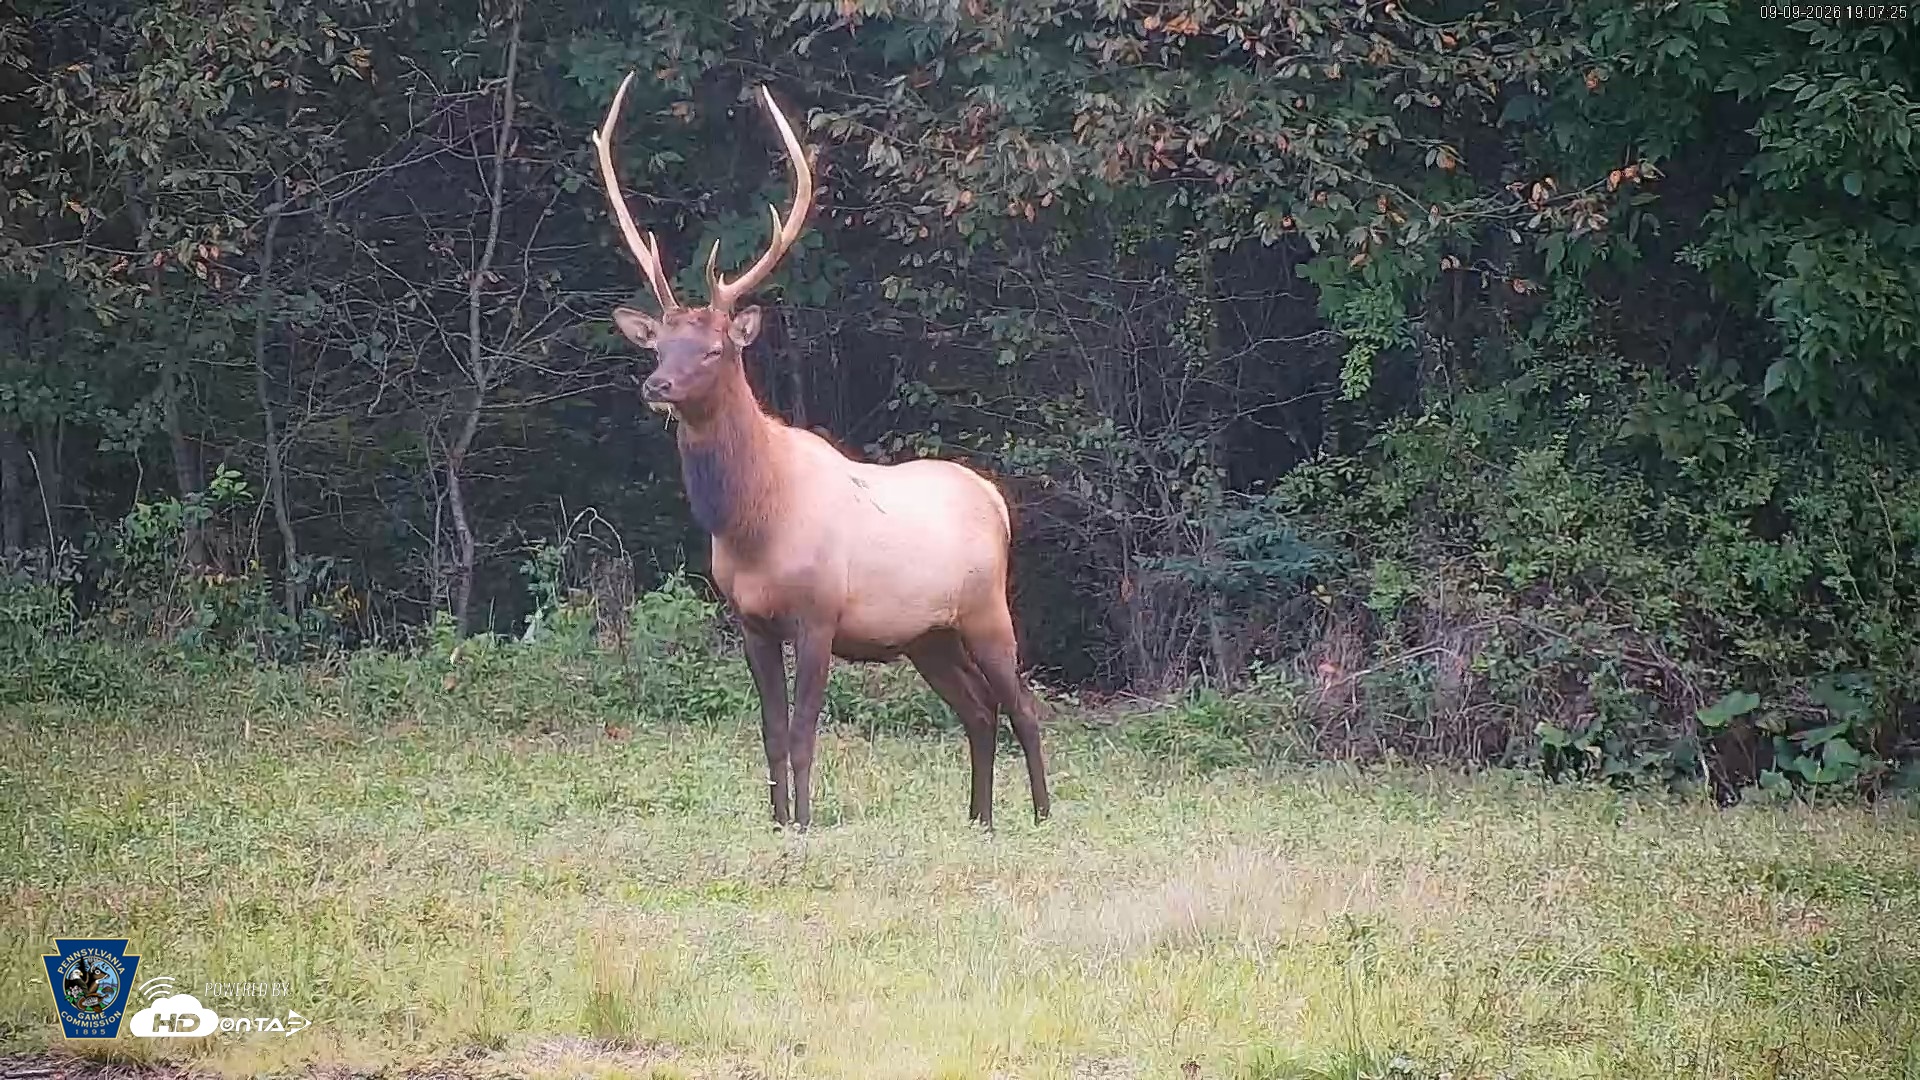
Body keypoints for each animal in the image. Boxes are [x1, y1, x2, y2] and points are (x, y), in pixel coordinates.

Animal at [591, 72, 1051, 832]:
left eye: (714, 349)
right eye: (658, 346)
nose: (655, 385)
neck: (753, 524)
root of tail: (995, 498)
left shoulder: (819, 613)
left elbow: (806, 729)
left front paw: (804, 825)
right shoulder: (750, 619)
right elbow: (771, 731)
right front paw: (778, 820)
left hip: (988, 608)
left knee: (1024, 708)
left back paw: (1041, 816)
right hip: (925, 634)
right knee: (979, 712)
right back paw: (979, 819)